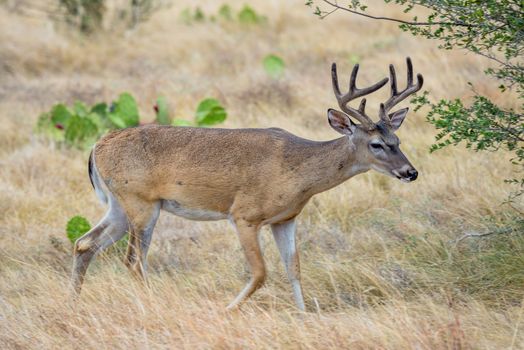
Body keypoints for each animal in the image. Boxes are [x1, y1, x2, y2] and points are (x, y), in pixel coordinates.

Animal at [70, 57, 422, 312]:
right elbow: (261, 272)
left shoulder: (285, 219)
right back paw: (153, 305)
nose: (410, 172)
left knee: (85, 243)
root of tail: (97, 146)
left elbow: (294, 268)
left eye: (398, 140)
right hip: (141, 202)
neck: (298, 170)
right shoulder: (244, 215)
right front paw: (227, 309)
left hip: (121, 205)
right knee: (133, 261)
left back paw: (75, 302)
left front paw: (304, 315)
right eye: (376, 144)